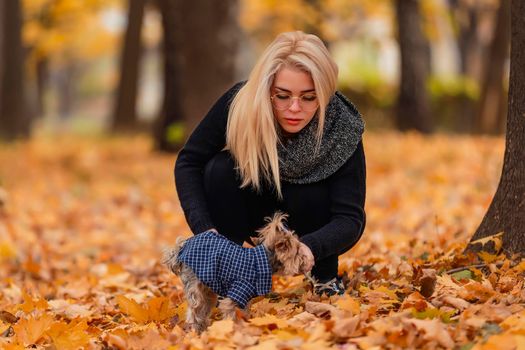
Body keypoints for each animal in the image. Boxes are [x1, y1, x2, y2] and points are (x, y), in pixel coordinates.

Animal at [164, 212, 312, 332]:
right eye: (298, 251)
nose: (308, 259)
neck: (263, 261)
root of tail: (181, 249)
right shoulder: (237, 292)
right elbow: (231, 314)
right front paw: (233, 330)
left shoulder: (244, 299)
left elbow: (243, 312)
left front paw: (247, 324)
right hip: (195, 285)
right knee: (195, 309)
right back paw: (194, 330)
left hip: (207, 288)